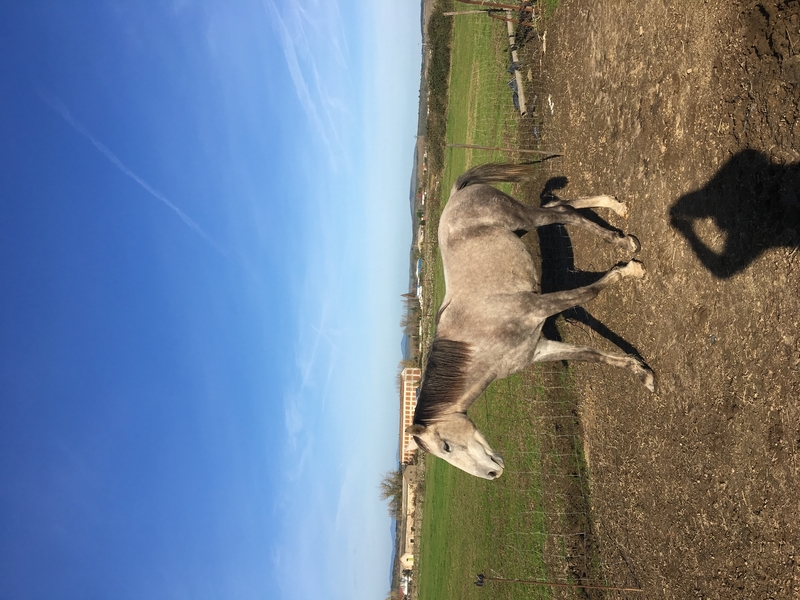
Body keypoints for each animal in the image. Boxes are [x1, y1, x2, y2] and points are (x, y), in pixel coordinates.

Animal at [406, 163, 655, 480]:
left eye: (446, 447)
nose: (493, 474)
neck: (479, 341)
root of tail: (455, 195)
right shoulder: (540, 348)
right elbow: (594, 356)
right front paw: (643, 374)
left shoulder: (540, 306)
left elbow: (590, 292)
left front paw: (630, 270)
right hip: (523, 225)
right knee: (557, 205)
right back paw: (615, 206)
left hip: (523, 218)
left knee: (564, 213)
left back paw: (623, 240)